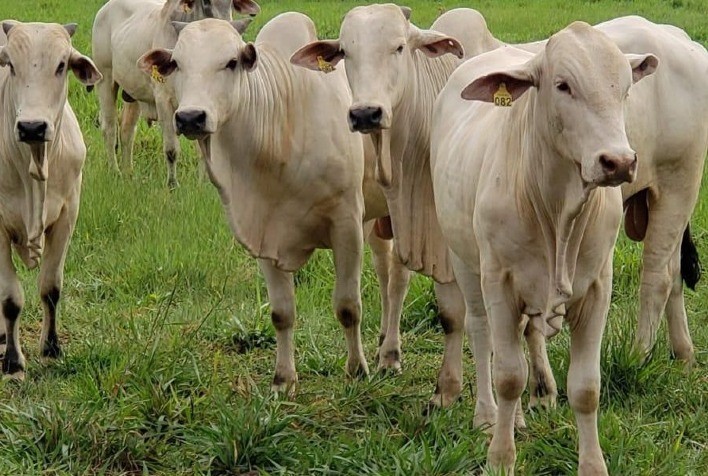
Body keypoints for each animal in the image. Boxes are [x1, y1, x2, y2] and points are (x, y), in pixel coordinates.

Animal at [0, 21, 101, 379]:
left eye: (61, 65)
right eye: (11, 65)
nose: (31, 127)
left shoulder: (68, 214)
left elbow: (50, 287)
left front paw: (52, 348)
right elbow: (10, 298)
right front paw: (13, 362)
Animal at [91, 0, 260, 189]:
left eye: (231, 3)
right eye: (206, 2)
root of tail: (105, 9)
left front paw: (202, 184)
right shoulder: (163, 101)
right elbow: (171, 149)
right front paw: (172, 185)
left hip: (132, 95)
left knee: (127, 130)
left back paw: (128, 173)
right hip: (105, 80)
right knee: (109, 128)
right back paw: (115, 171)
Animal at [291, 4, 501, 409]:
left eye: (400, 47)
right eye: (346, 52)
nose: (365, 114)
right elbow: (450, 313)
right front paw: (447, 389)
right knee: (391, 276)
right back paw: (386, 351)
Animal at [431, 22, 657, 474]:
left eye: (625, 88)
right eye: (563, 85)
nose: (619, 162)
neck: (558, 213)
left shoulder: (597, 289)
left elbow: (585, 387)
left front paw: (593, 464)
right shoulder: (499, 282)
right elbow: (507, 376)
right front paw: (500, 457)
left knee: (523, 338)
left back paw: (518, 414)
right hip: (465, 262)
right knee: (482, 334)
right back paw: (488, 416)